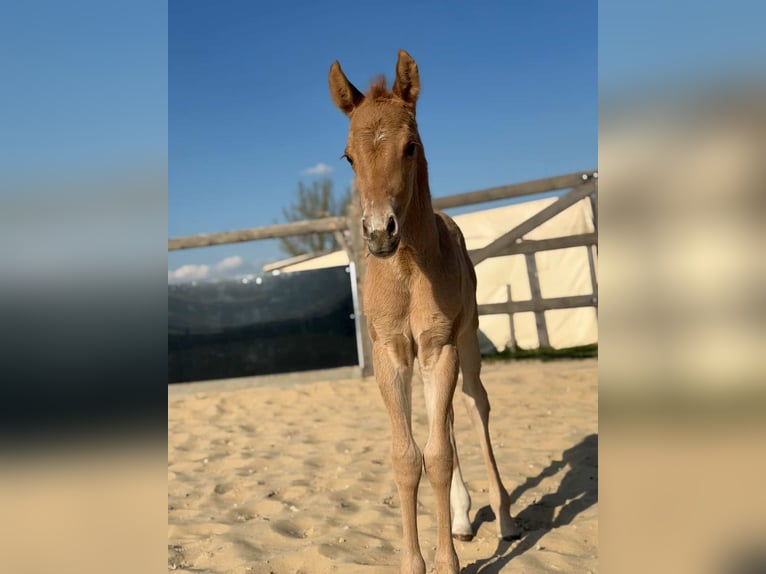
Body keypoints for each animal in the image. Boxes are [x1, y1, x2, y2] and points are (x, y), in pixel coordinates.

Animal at [329, 50, 521, 574]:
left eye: (410, 146)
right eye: (348, 157)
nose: (379, 233)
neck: (409, 273)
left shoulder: (440, 348)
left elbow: (436, 456)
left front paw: (446, 562)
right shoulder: (392, 355)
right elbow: (407, 457)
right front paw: (415, 561)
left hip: (467, 344)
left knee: (475, 407)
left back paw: (505, 519)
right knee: (449, 420)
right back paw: (461, 517)